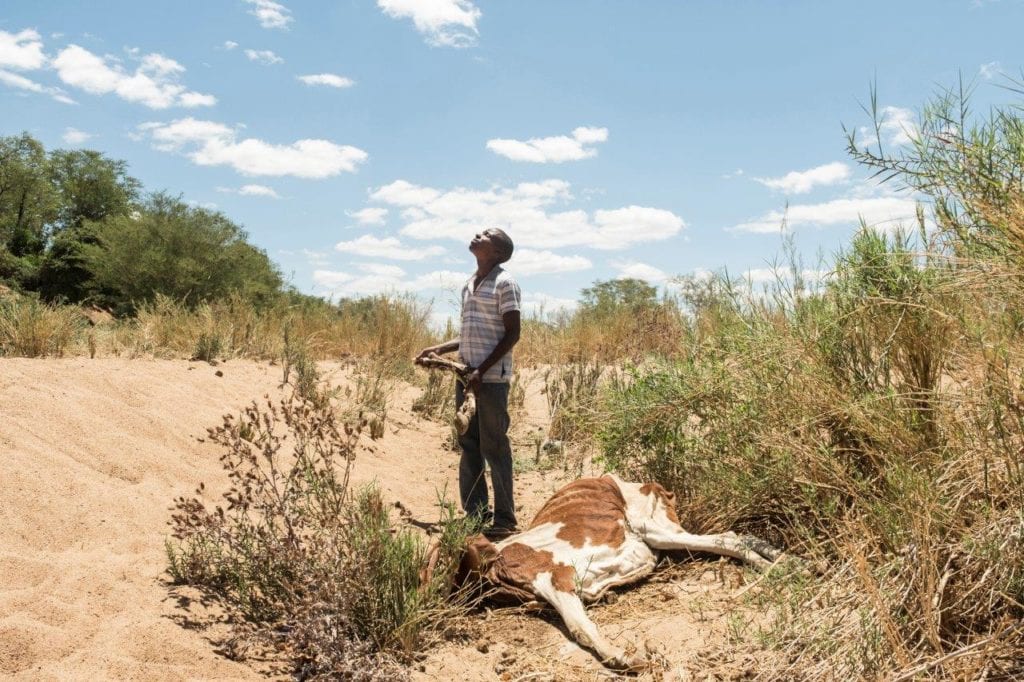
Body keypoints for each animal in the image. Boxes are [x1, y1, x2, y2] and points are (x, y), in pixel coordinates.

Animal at [444, 471, 778, 667]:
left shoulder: (556, 578)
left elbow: (580, 627)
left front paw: (620, 656)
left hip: (653, 528)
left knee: (728, 538)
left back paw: (780, 565)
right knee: (733, 538)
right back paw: (778, 562)